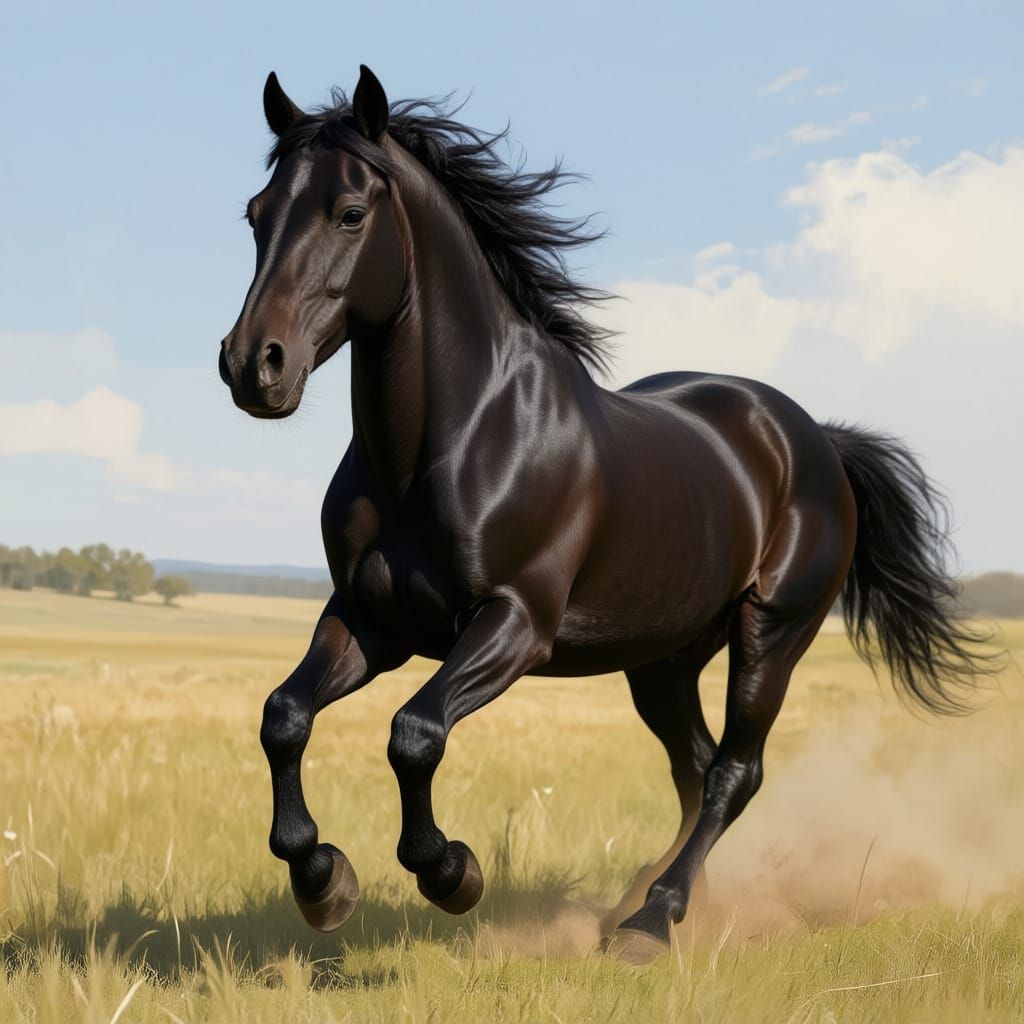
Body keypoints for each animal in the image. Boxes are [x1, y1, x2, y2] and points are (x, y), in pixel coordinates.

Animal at [218, 66, 992, 963]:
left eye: (349, 212)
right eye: (256, 213)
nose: (253, 365)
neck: (454, 440)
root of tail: (815, 441)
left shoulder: (515, 624)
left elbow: (415, 734)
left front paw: (452, 874)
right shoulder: (373, 619)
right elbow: (284, 717)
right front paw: (322, 881)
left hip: (773, 633)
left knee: (734, 772)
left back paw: (652, 921)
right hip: (663, 659)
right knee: (694, 770)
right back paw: (637, 908)